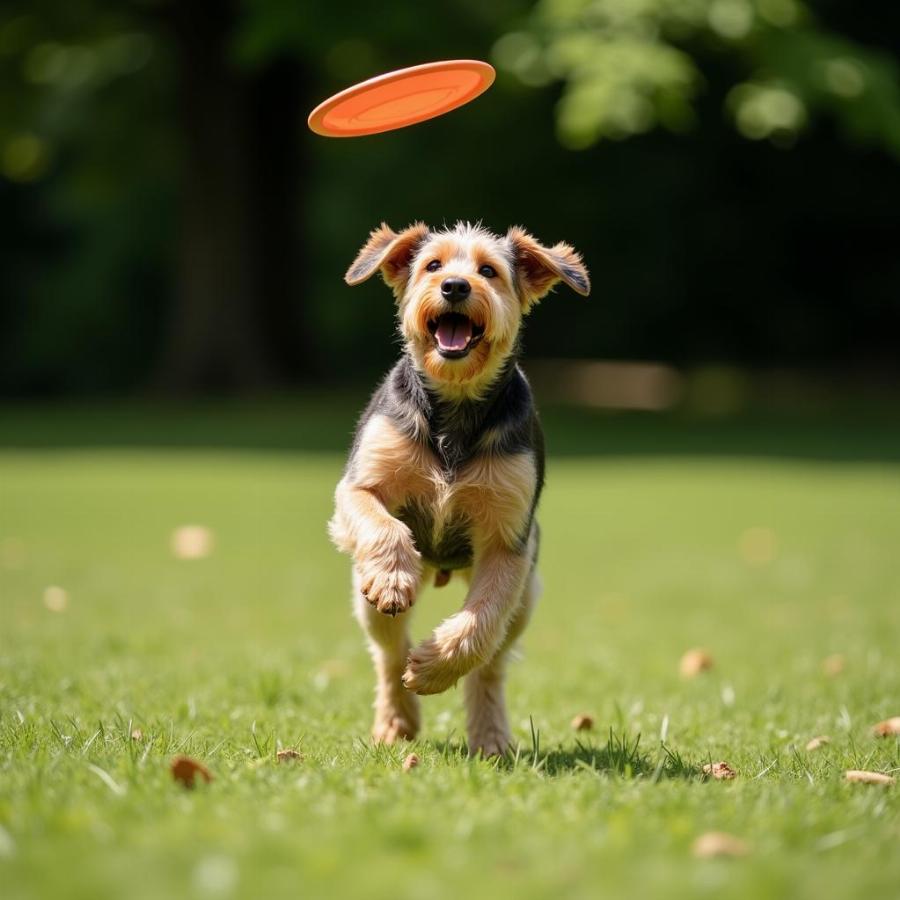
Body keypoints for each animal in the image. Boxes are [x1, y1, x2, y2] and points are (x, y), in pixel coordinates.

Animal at [330, 221, 592, 756]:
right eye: (433, 265)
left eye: (488, 271)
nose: (454, 286)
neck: (454, 403)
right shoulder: (358, 488)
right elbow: (382, 523)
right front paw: (393, 578)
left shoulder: (508, 543)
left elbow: (481, 623)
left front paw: (434, 667)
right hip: (364, 600)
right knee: (389, 652)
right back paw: (396, 721)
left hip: (525, 598)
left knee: (489, 666)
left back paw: (489, 737)